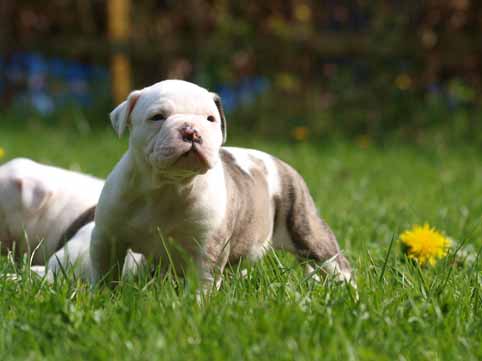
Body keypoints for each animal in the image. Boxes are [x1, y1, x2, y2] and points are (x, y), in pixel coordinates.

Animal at [91, 80, 354, 288]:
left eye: (210, 119)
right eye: (157, 117)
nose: (191, 131)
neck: (168, 186)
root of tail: (283, 165)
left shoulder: (207, 249)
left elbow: (202, 286)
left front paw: (196, 308)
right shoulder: (107, 238)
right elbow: (105, 275)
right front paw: (104, 299)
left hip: (305, 229)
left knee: (336, 263)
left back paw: (349, 295)